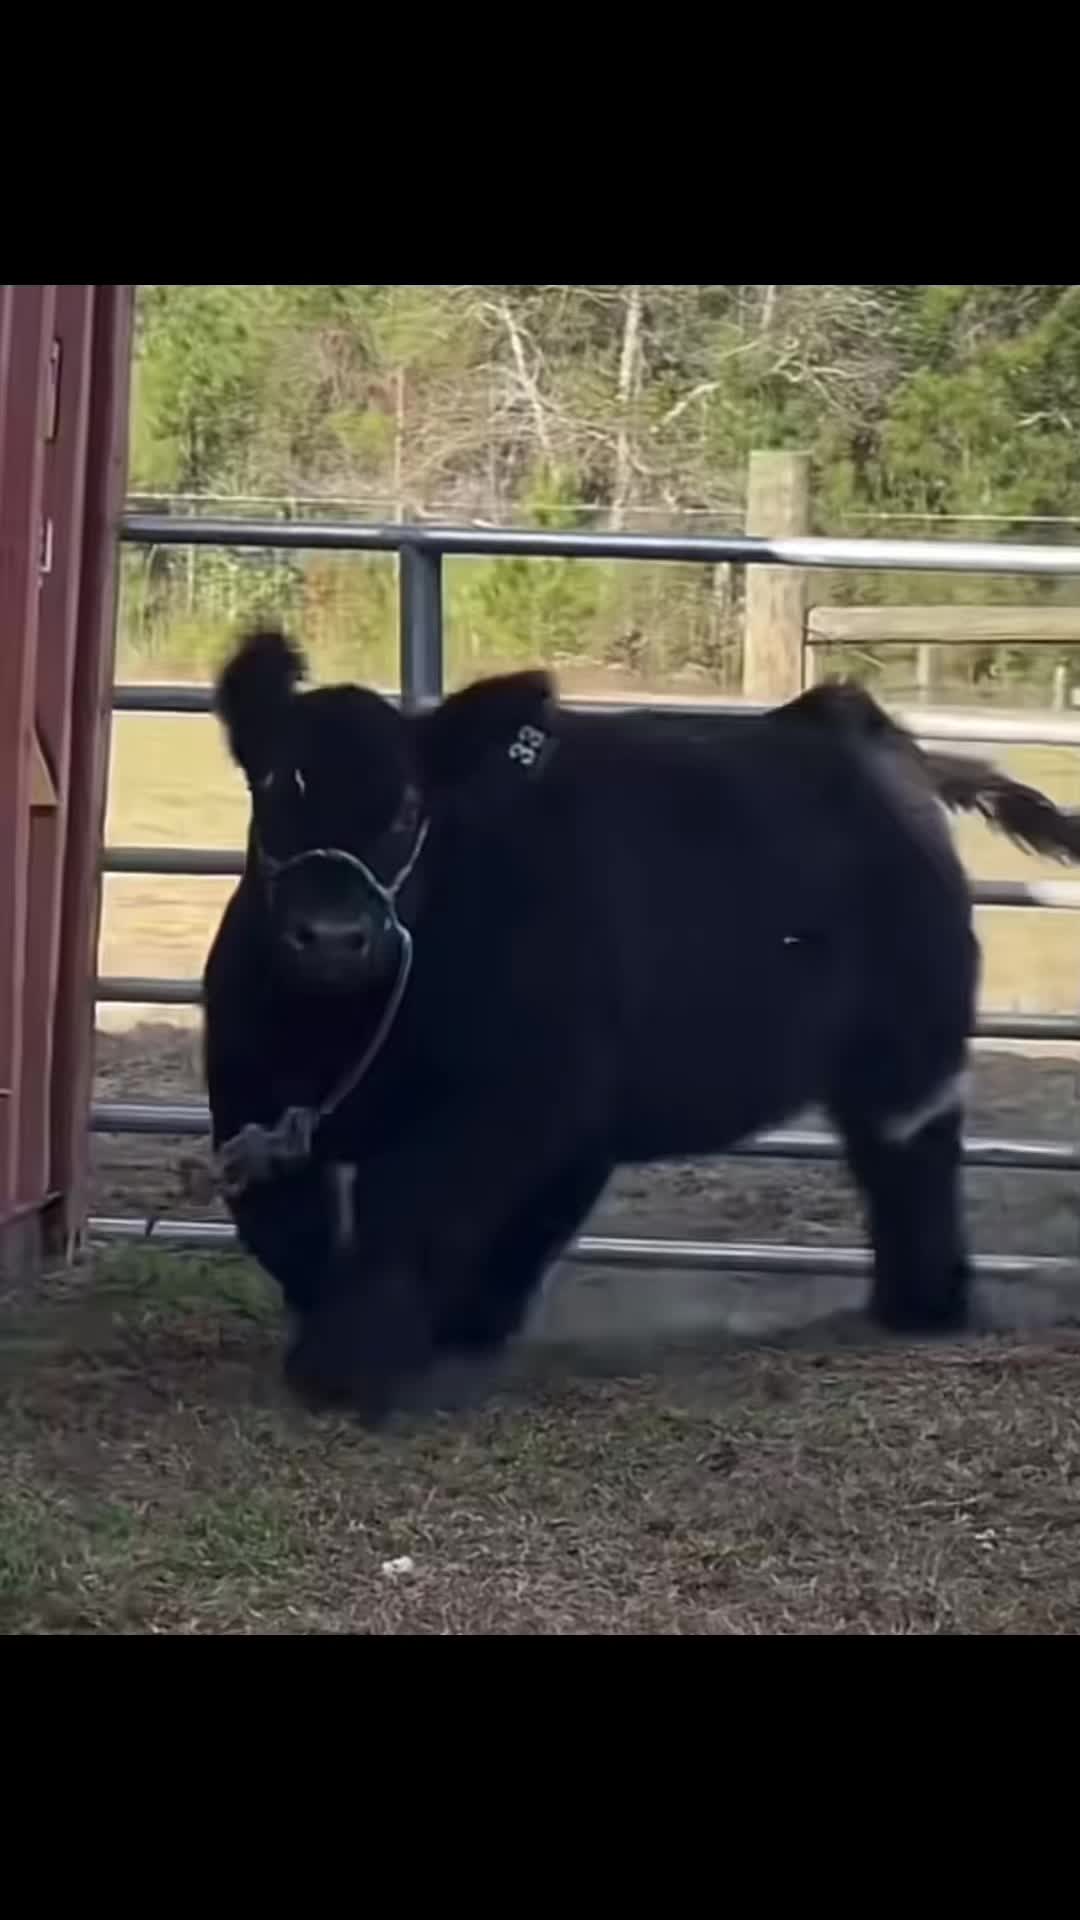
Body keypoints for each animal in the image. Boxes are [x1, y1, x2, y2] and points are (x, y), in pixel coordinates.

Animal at [201, 626, 1080, 1423]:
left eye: (409, 805)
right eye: (271, 787)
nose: (331, 935)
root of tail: (856, 727)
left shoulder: (499, 1100)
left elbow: (403, 1213)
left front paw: (344, 1361)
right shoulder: (249, 1088)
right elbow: (287, 1227)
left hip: (906, 1053)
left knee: (909, 1160)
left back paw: (922, 1308)